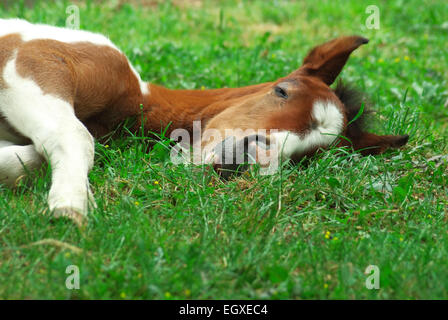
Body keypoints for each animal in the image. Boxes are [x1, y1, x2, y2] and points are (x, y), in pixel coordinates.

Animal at [0, 18, 408, 226]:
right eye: (281, 91)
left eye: (308, 157)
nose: (242, 159)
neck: (136, 103)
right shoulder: (31, 58)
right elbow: (76, 136)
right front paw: (70, 206)